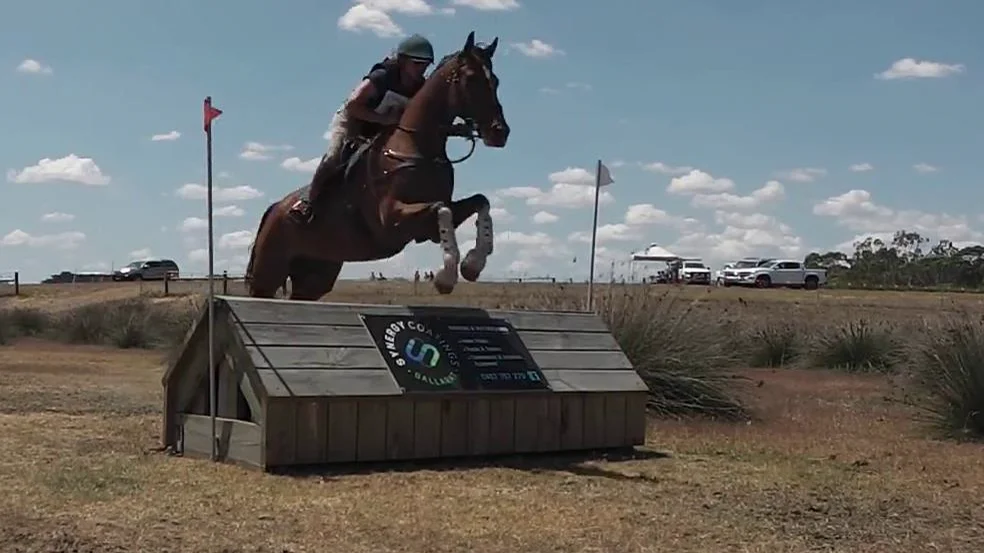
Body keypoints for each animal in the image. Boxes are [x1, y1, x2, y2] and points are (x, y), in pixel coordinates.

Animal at [244, 31, 508, 300]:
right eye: (471, 79)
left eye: (496, 81)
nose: (500, 132)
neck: (416, 146)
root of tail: (275, 207)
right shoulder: (391, 222)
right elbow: (440, 207)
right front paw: (446, 277)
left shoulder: (429, 224)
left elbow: (479, 201)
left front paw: (472, 265)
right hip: (268, 272)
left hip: (316, 274)